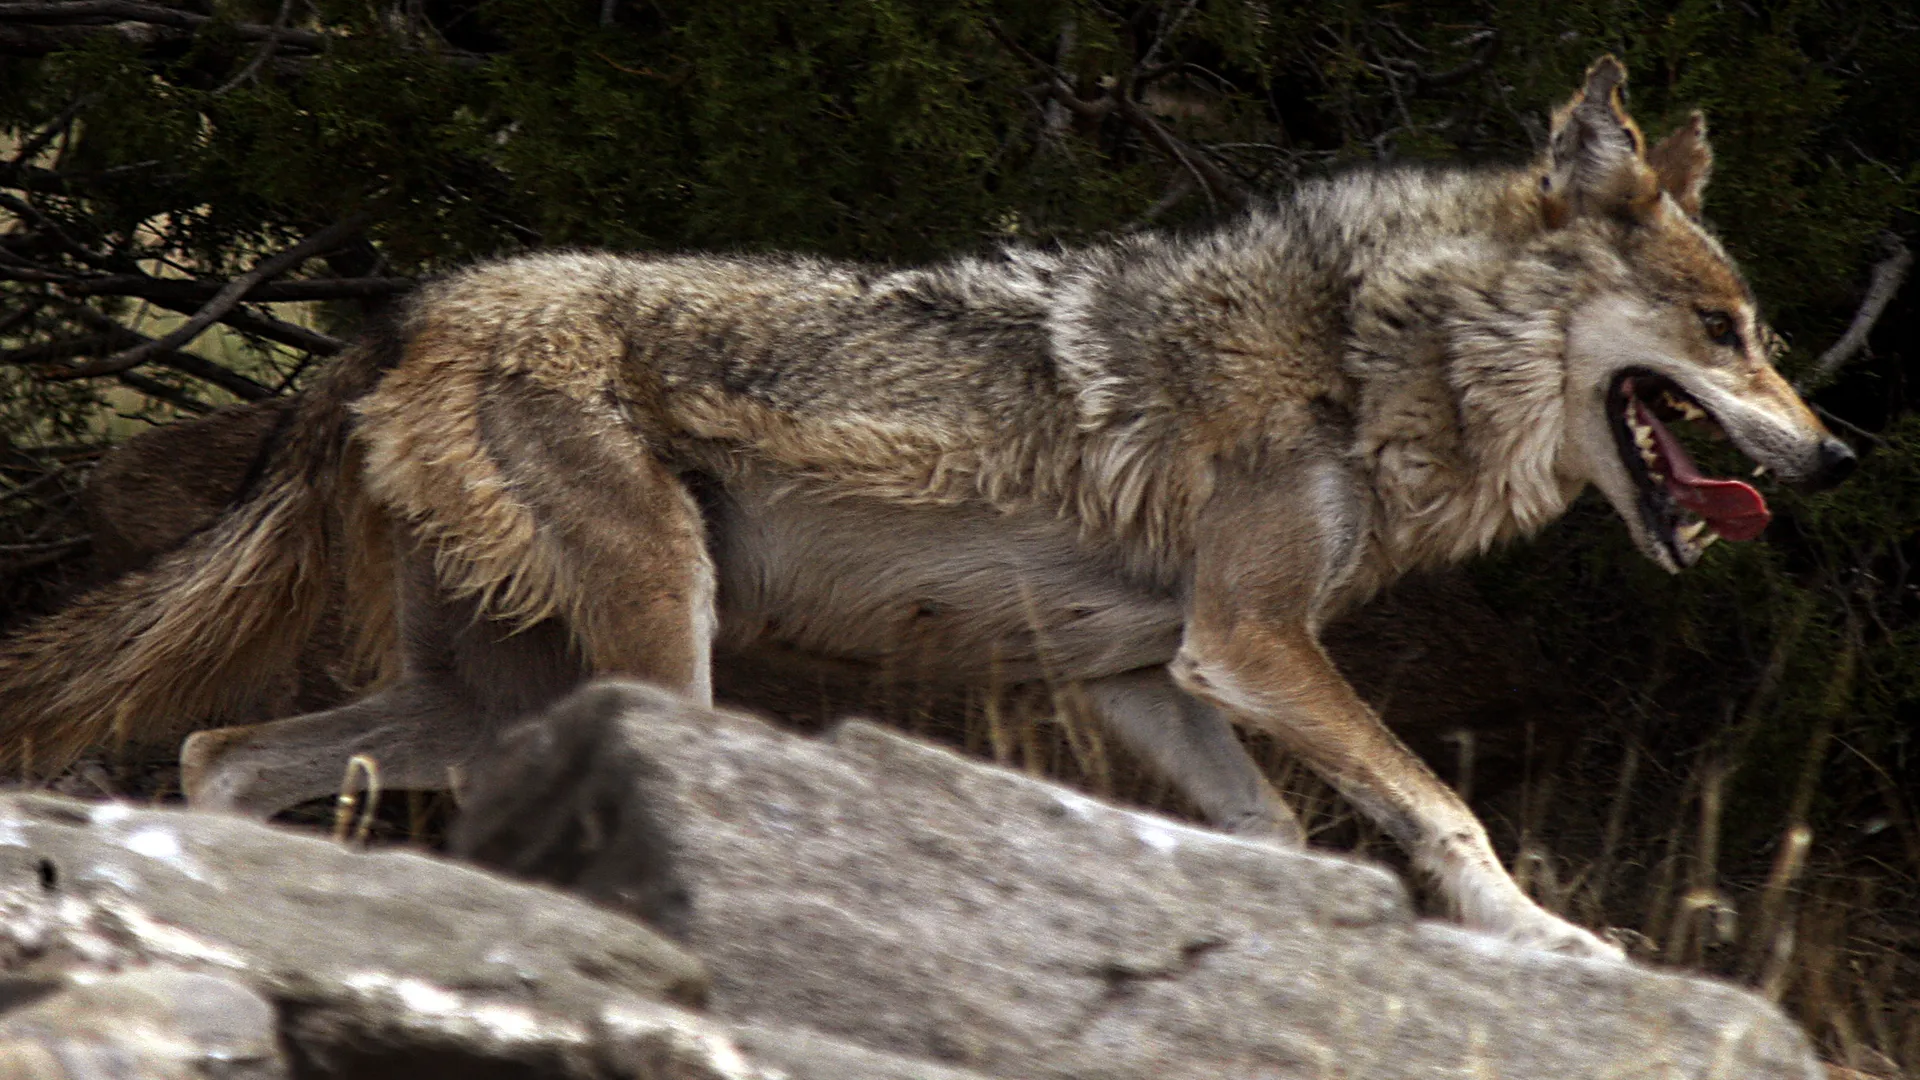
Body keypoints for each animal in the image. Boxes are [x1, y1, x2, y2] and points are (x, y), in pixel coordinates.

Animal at [0, 57, 1853, 958]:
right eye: (1729, 331)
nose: (1834, 458)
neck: (1363, 351)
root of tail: (404, 311)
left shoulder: (1149, 675)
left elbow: (1272, 838)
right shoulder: (1249, 647)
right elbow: (1448, 812)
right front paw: (1552, 941)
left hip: (487, 695)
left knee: (219, 753)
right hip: (652, 651)